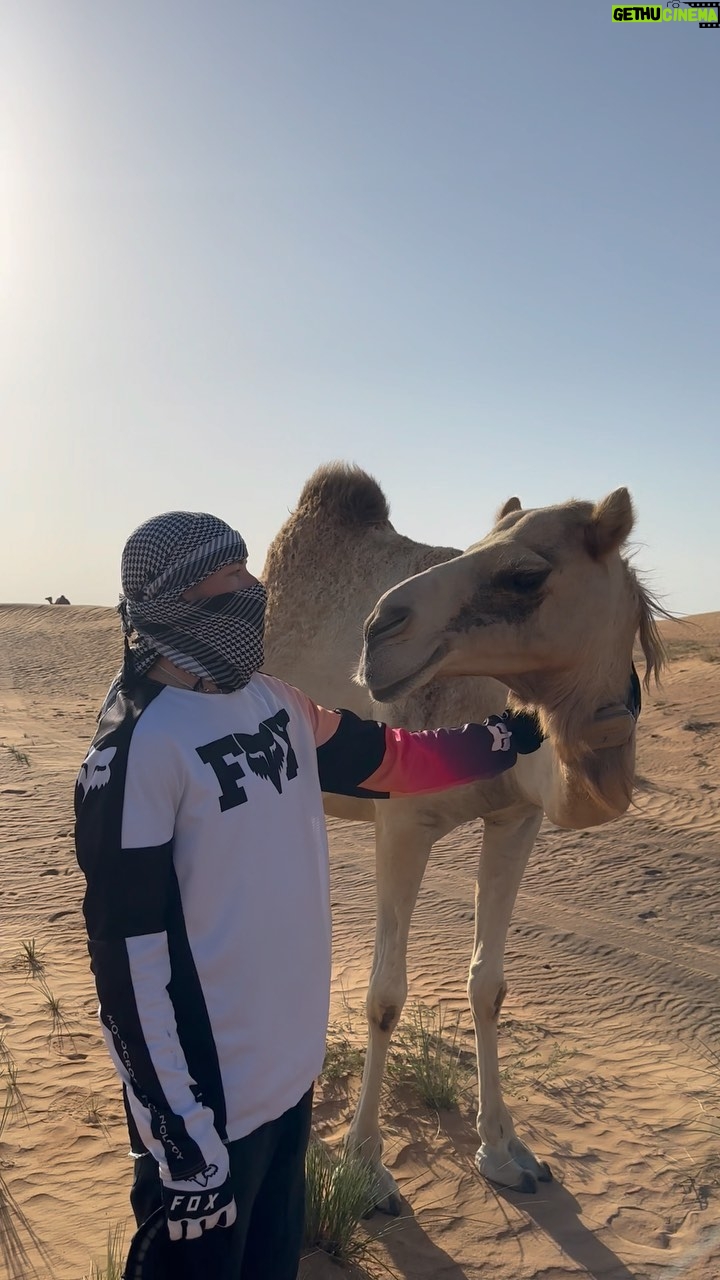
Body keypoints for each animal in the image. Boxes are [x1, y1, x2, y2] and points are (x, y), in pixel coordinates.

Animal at [262, 463, 666, 1211]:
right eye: (472, 548)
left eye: (526, 575)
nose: (377, 630)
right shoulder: (403, 822)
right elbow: (386, 995)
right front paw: (366, 1169)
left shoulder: (516, 819)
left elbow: (489, 984)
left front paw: (506, 1152)